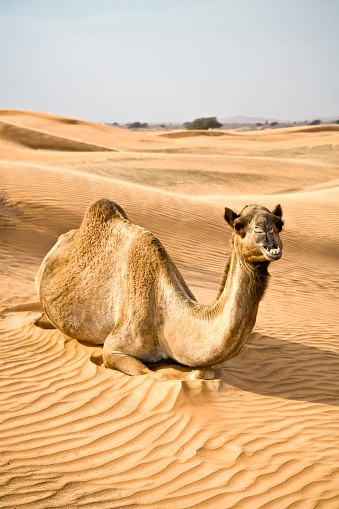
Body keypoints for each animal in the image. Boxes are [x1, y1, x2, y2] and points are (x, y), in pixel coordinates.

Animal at [35, 197, 284, 378]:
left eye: (279, 224)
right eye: (238, 225)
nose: (266, 234)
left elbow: (204, 372)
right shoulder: (115, 348)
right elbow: (151, 374)